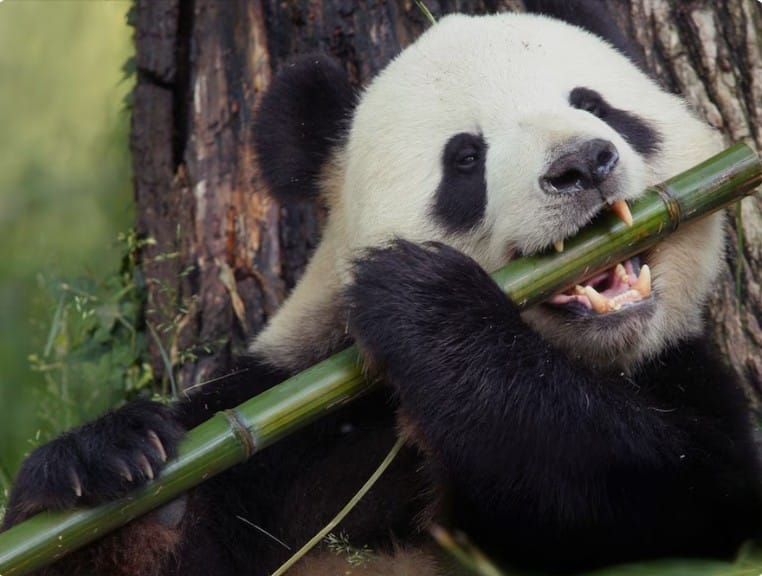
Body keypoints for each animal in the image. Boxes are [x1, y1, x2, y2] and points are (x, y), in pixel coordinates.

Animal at [3, 3, 761, 576]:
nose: (582, 163)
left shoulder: (684, 378)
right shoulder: (285, 429)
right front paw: (108, 465)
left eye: (594, 103)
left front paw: (423, 302)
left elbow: (659, 494)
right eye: (465, 157)